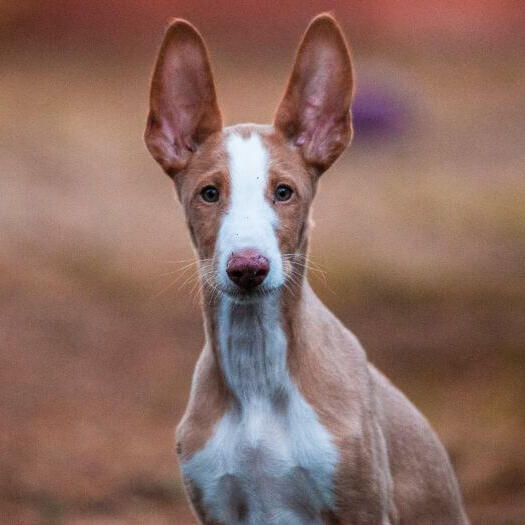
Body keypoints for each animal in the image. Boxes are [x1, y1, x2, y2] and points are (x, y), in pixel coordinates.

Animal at [142, 12, 466, 524]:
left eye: (284, 192)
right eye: (209, 193)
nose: (248, 268)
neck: (256, 369)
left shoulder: (362, 506)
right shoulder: (217, 506)